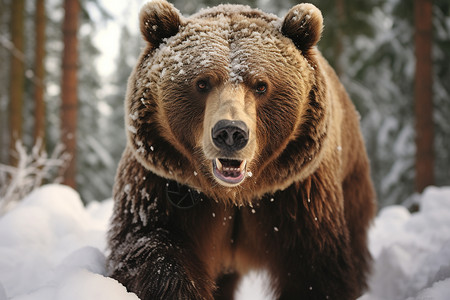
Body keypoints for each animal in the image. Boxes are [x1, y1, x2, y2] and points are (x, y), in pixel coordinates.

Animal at [108, 1, 376, 298]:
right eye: (202, 82)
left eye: (261, 85)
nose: (230, 132)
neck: (235, 194)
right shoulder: (165, 188)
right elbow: (150, 248)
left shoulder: (299, 197)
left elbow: (316, 270)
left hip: (352, 184)